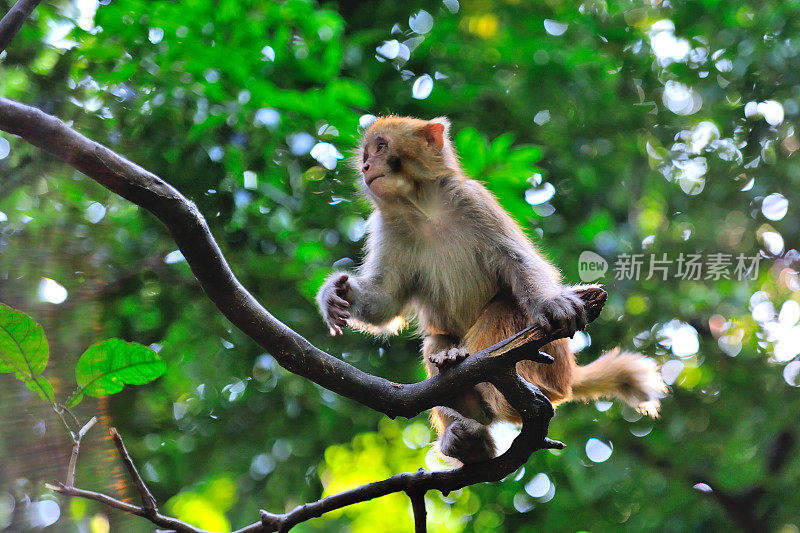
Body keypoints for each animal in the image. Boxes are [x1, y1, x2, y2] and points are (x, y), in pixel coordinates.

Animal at [316, 115, 664, 462]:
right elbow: (385, 301)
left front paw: (553, 302)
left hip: (549, 368)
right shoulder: (388, 225)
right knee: (437, 340)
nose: (366, 166)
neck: (424, 209)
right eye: (365, 154)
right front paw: (336, 294)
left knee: (504, 308)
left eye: (381, 147)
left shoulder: (474, 200)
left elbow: (517, 261)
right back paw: (465, 421)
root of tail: (568, 376)